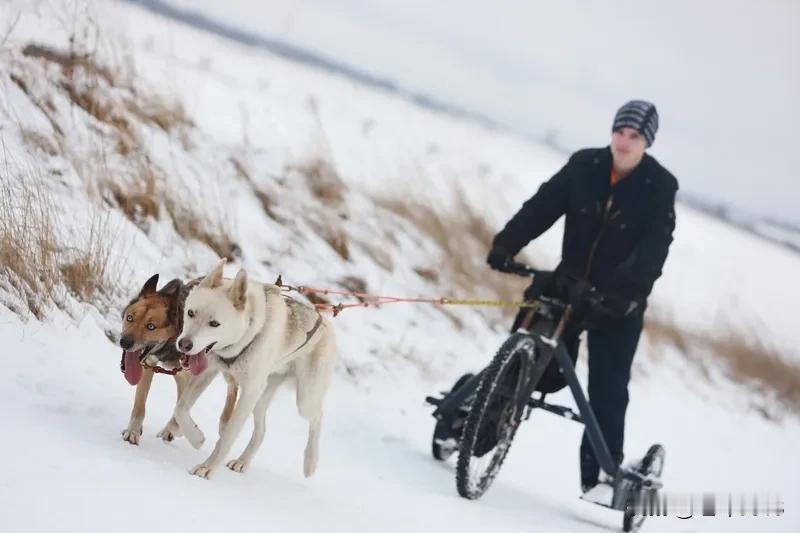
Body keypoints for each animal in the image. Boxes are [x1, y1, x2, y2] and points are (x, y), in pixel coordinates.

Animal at [119, 274, 238, 444]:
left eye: (151, 327)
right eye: (130, 318)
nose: (125, 342)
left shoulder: (192, 377)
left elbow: (180, 409)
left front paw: (174, 430)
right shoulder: (149, 365)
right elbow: (140, 406)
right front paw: (133, 431)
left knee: (233, 388)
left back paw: (224, 422)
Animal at [173, 260, 336, 480]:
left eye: (214, 323)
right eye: (191, 313)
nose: (184, 344)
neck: (248, 335)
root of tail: (326, 324)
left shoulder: (249, 391)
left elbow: (228, 435)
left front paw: (207, 468)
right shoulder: (208, 372)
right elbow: (180, 409)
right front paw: (196, 437)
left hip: (304, 400)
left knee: (318, 417)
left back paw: (310, 461)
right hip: (260, 399)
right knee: (261, 432)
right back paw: (243, 461)